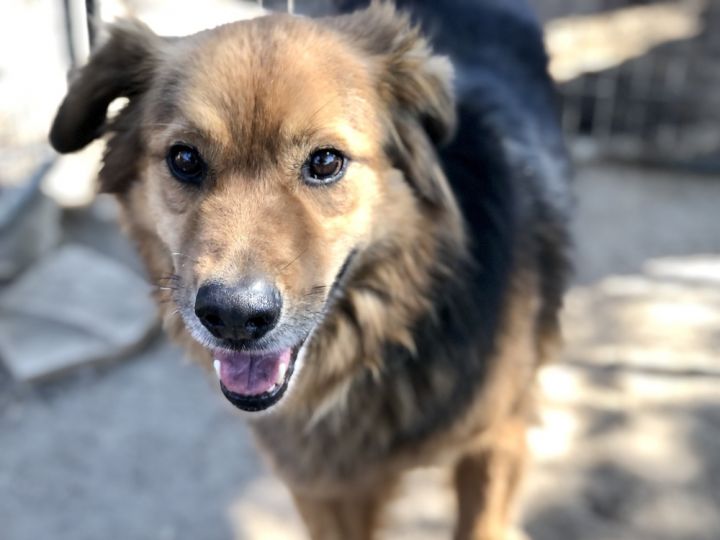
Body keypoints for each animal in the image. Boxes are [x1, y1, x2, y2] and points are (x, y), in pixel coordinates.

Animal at [47, 2, 572, 536]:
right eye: (185, 158)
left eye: (325, 162)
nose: (234, 317)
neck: (400, 334)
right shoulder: (322, 487)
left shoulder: (498, 440)